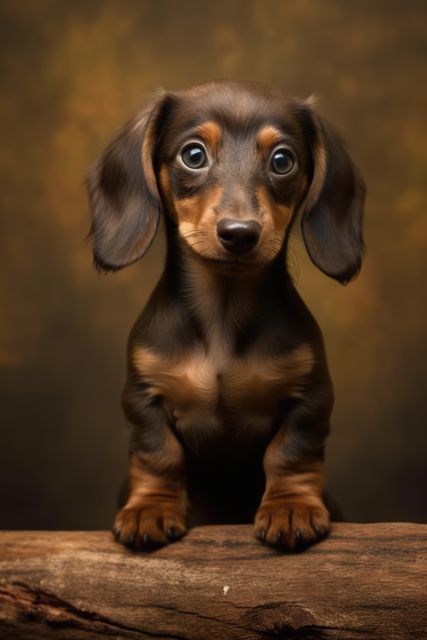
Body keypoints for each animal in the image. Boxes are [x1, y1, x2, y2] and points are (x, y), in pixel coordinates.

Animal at [86, 79, 364, 552]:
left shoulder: (311, 395)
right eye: (193, 155)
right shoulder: (141, 395)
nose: (239, 233)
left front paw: (290, 506)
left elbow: (291, 451)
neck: (222, 314)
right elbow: (158, 452)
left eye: (282, 160)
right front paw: (150, 509)